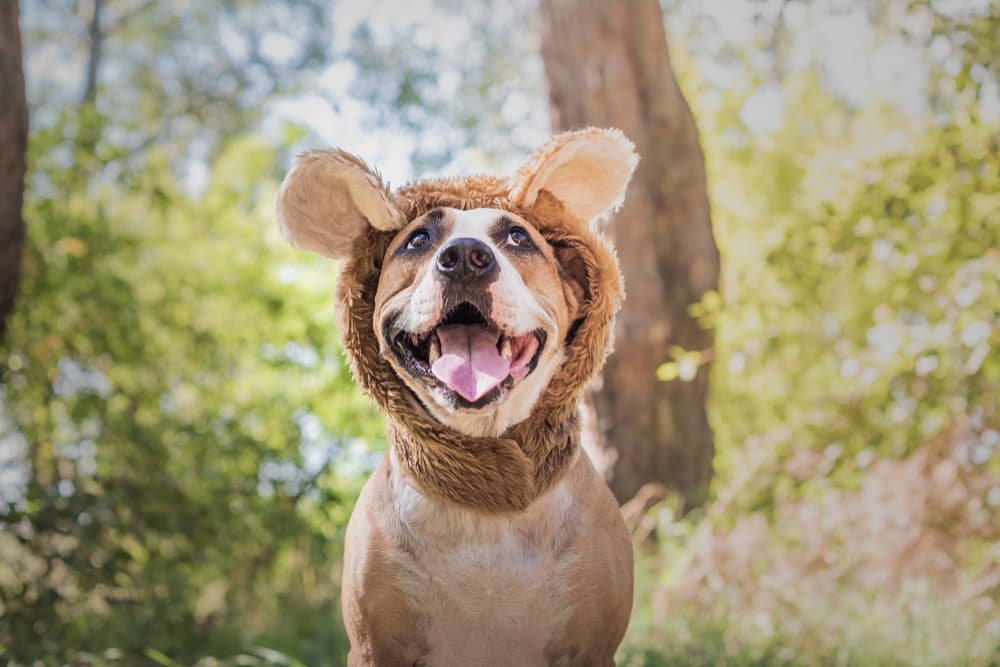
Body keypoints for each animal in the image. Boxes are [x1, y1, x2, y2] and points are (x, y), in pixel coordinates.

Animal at [278, 128, 636, 664]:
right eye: (419, 239)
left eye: (518, 237)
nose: (466, 256)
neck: (485, 497)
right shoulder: (373, 647)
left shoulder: (591, 647)